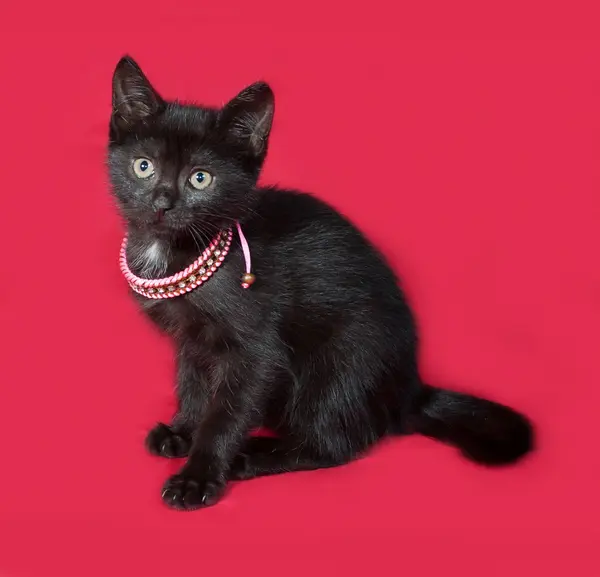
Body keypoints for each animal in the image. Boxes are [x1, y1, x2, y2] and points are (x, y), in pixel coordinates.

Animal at [108, 57, 536, 508]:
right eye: (143, 166)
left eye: (200, 179)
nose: (161, 203)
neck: (176, 250)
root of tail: (409, 390)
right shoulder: (190, 339)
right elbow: (192, 383)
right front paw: (183, 431)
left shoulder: (256, 349)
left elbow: (225, 412)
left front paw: (198, 475)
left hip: (339, 363)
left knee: (333, 445)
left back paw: (251, 456)